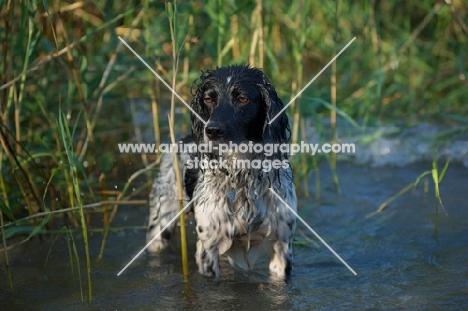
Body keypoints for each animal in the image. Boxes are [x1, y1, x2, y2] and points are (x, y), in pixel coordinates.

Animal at [146, 64, 296, 280]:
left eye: (243, 99)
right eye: (208, 99)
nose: (212, 131)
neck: (242, 176)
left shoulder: (282, 246)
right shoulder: (209, 248)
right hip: (161, 226)